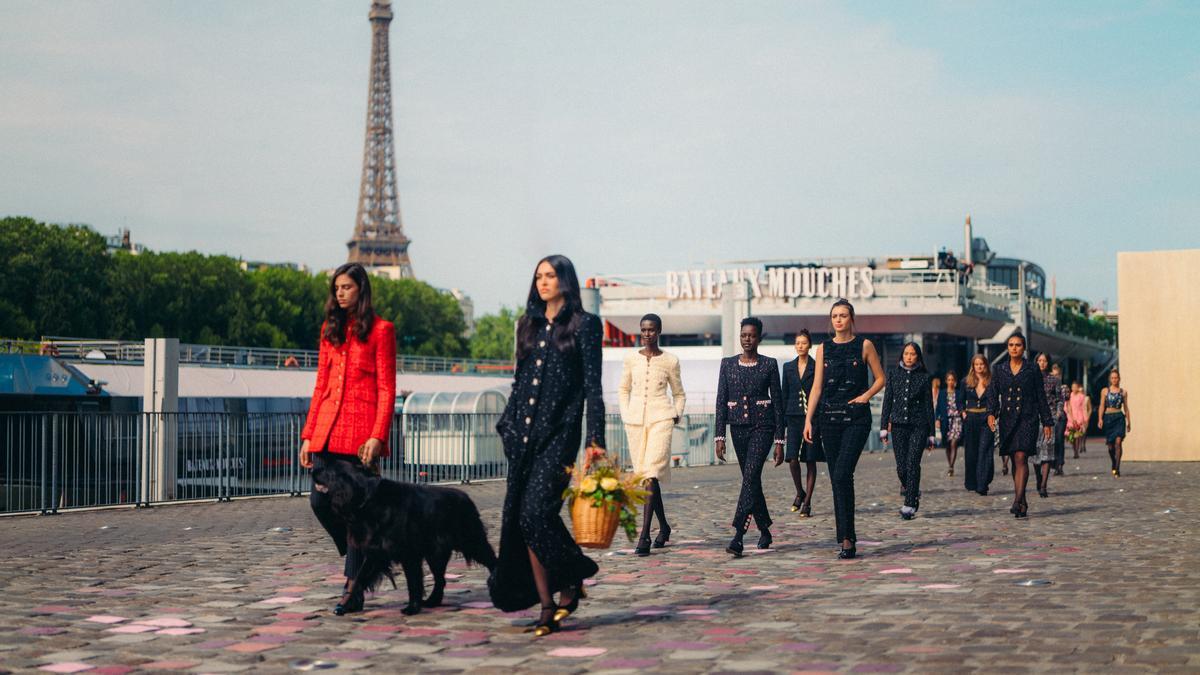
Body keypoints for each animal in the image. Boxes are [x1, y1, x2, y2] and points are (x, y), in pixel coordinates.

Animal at [314, 458, 496, 612]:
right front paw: (347, 604)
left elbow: (413, 582)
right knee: (440, 579)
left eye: (326, 468)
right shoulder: (376, 551)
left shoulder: (409, 553)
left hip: (472, 541)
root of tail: (466, 498)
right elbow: (359, 578)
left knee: (491, 560)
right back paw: (432, 601)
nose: (313, 470)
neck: (367, 498)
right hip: (436, 553)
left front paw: (412, 608)